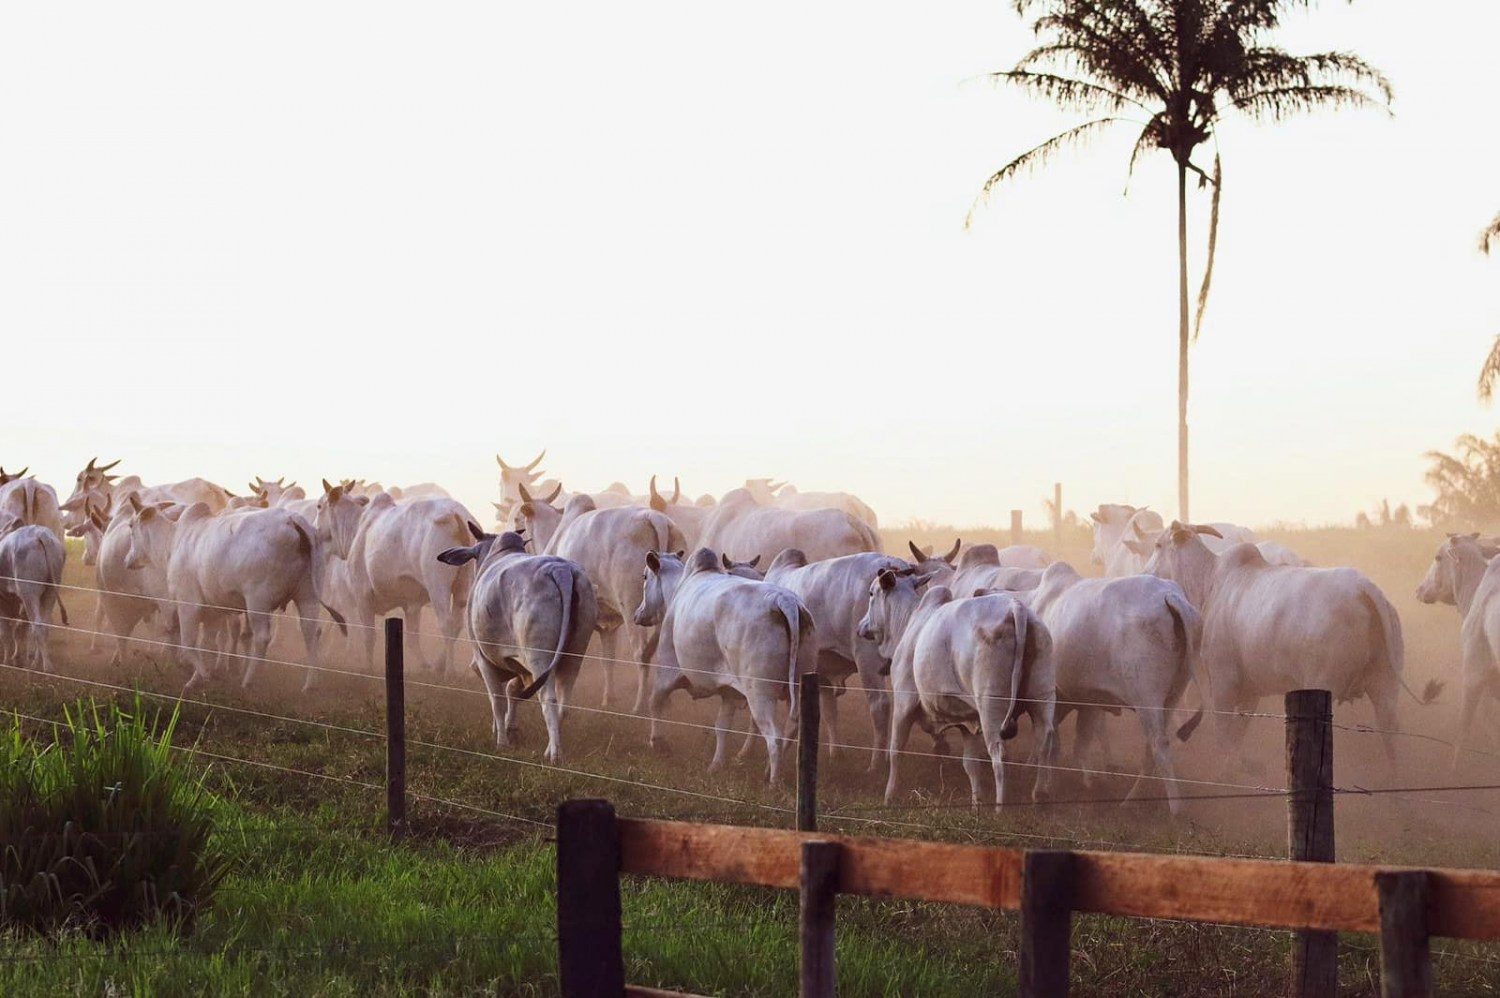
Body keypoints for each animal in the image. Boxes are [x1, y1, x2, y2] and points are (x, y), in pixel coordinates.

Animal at [125, 495, 345, 690]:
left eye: (131, 526)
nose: (128, 560)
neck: (174, 540)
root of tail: (293, 520)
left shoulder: (187, 603)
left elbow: (189, 644)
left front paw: (199, 677)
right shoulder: (213, 612)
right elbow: (207, 644)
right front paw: (201, 676)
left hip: (258, 601)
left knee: (262, 637)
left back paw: (249, 679)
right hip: (308, 596)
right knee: (311, 631)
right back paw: (310, 683)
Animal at [435, 528, 597, 756]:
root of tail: (560, 570)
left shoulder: (483, 659)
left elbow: (498, 699)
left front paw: (501, 741)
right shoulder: (519, 664)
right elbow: (512, 692)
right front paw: (509, 729)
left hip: (539, 657)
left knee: (548, 699)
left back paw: (554, 753)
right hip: (575, 653)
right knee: (564, 701)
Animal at [636, 549, 822, 780]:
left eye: (645, 576)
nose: (638, 614)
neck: (680, 587)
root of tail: (784, 601)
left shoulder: (667, 669)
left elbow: (655, 702)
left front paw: (658, 743)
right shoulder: (729, 692)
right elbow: (722, 727)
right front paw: (716, 765)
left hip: (760, 693)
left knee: (774, 737)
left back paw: (773, 781)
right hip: (796, 686)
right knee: (791, 728)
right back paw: (768, 770)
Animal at [858, 567, 1056, 810]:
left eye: (871, 593)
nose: (861, 627)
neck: (908, 622)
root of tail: (1015, 608)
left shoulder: (904, 703)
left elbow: (896, 750)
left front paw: (889, 797)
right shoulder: (968, 721)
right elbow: (970, 765)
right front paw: (975, 805)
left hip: (991, 706)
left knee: (999, 754)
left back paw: (1000, 809)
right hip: (1042, 698)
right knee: (1044, 741)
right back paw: (1040, 795)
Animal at [1140, 522, 1422, 762]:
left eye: (1158, 545)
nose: (1144, 573)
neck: (1209, 582)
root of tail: (1363, 588)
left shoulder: (1223, 686)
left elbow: (1225, 740)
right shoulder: (1250, 692)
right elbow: (1237, 739)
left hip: (1324, 682)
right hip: (1385, 688)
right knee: (1391, 738)